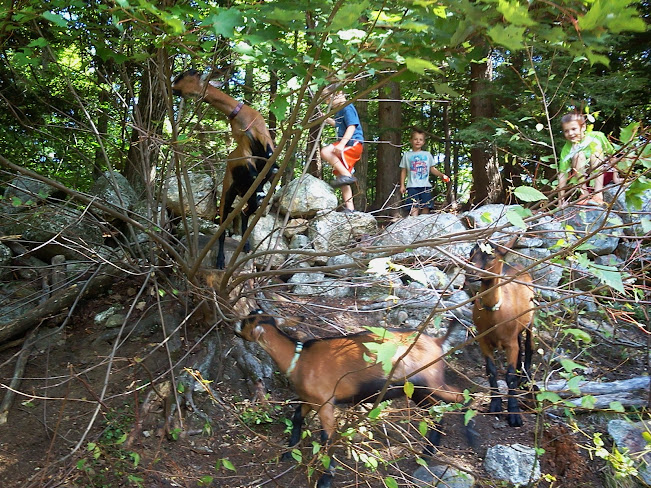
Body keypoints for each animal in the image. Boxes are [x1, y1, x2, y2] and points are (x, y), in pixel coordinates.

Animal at [171, 70, 278, 268]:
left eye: (190, 74)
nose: (173, 86)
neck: (239, 113)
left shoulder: (265, 138)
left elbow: (272, 163)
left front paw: (268, 177)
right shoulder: (243, 148)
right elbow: (251, 167)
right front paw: (259, 180)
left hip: (245, 198)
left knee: (244, 213)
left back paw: (246, 245)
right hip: (228, 193)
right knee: (223, 226)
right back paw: (221, 260)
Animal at [234, 310, 476, 488]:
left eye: (248, 321)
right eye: (252, 314)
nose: (235, 325)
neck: (300, 360)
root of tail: (438, 342)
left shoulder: (326, 402)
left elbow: (327, 438)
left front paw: (325, 479)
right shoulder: (309, 399)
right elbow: (296, 417)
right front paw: (288, 452)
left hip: (431, 381)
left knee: (461, 395)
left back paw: (470, 435)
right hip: (418, 390)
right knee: (437, 412)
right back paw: (427, 454)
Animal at [467, 237, 534, 427]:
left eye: (491, 256)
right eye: (471, 252)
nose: (470, 273)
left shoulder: (510, 344)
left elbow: (509, 375)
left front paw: (514, 414)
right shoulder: (483, 340)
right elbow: (491, 370)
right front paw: (495, 404)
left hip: (531, 318)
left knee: (529, 344)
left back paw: (525, 378)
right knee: (520, 344)